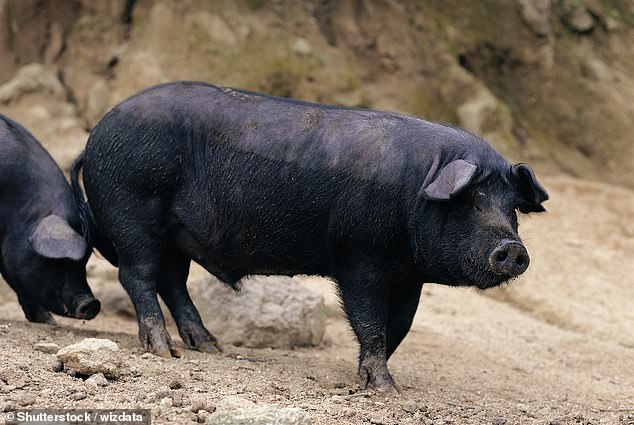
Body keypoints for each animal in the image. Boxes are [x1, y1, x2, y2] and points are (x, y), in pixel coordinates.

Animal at [73, 82, 548, 390]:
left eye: (511, 208)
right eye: (471, 200)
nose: (513, 248)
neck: (417, 189)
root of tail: (96, 134)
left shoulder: (408, 276)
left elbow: (399, 326)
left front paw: (376, 382)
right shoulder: (360, 258)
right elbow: (370, 321)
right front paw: (385, 389)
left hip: (177, 233)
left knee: (172, 281)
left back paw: (210, 348)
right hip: (132, 206)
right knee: (138, 275)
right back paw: (163, 350)